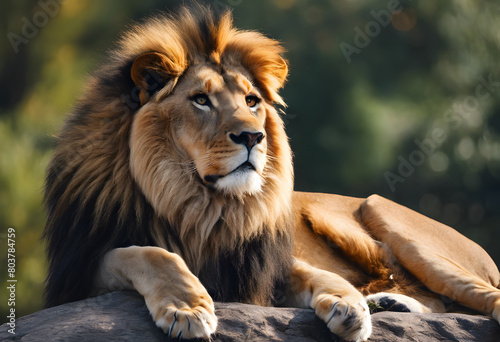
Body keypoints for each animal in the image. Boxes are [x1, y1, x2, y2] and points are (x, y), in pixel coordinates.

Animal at [43, 4, 500, 340]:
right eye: (200, 100)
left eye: (251, 100)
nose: (253, 136)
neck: (199, 205)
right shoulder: (75, 272)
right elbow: (148, 252)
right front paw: (187, 307)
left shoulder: (264, 268)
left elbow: (315, 272)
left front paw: (349, 303)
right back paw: (390, 303)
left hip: (387, 215)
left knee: (483, 294)